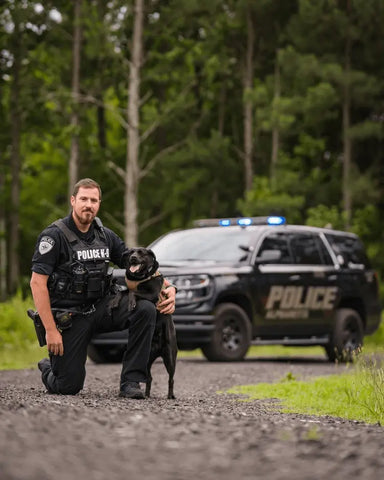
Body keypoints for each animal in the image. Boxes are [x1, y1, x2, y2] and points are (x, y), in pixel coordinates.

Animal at [124, 248, 178, 398]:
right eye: (131, 252)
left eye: (141, 252)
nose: (133, 258)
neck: (140, 277)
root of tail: (158, 349)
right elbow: (128, 290)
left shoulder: (153, 294)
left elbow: (133, 292)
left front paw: (131, 302)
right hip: (146, 359)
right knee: (149, 377)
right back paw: (146, 394)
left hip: (170, 358)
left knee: (171, 379)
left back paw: (170, 396)